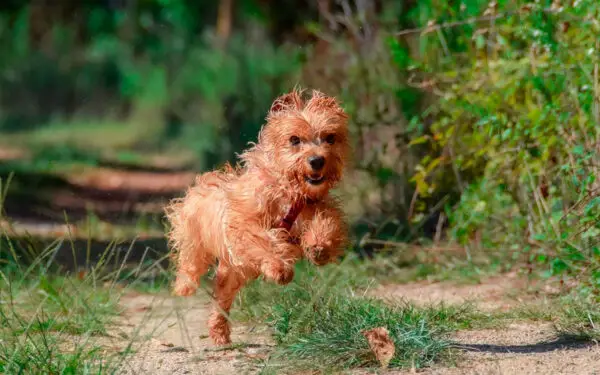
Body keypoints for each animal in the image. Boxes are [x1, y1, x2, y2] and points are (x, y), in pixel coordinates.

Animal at [166, 89, 350, 346]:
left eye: (330, 138)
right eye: (294, 139)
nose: (317, 160)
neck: (288, 191)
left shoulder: (315, 209)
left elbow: (326, 222)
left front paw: (319, 247)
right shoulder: (246, 225)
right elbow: (264, 242)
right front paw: (280, 269)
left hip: (233, 273)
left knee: (221, 300)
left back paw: (219, 331)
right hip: (196, 241)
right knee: (190, 262)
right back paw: (184, 286)